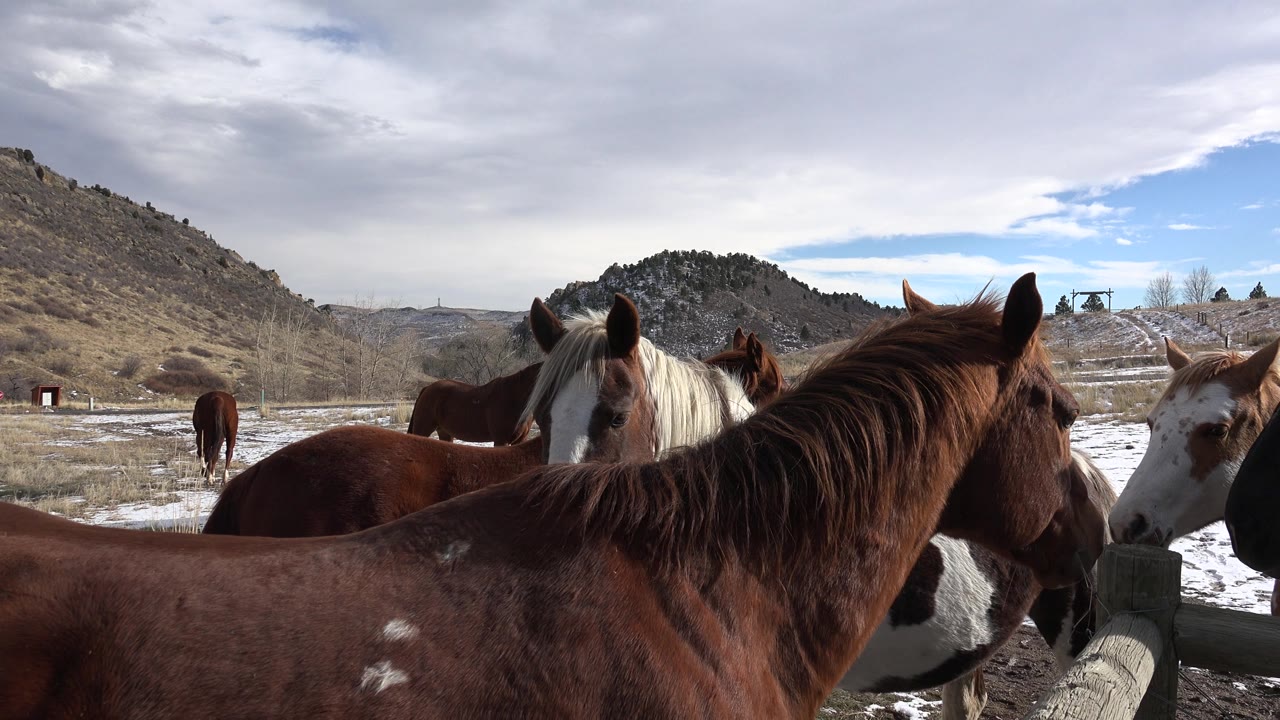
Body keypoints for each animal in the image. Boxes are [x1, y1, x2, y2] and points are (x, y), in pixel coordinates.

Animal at [406, 361, 541, 445]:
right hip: (423, 430)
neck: (514, 397)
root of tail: (427, 388)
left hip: (445, 433)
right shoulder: (501, 440)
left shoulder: (520, 441)